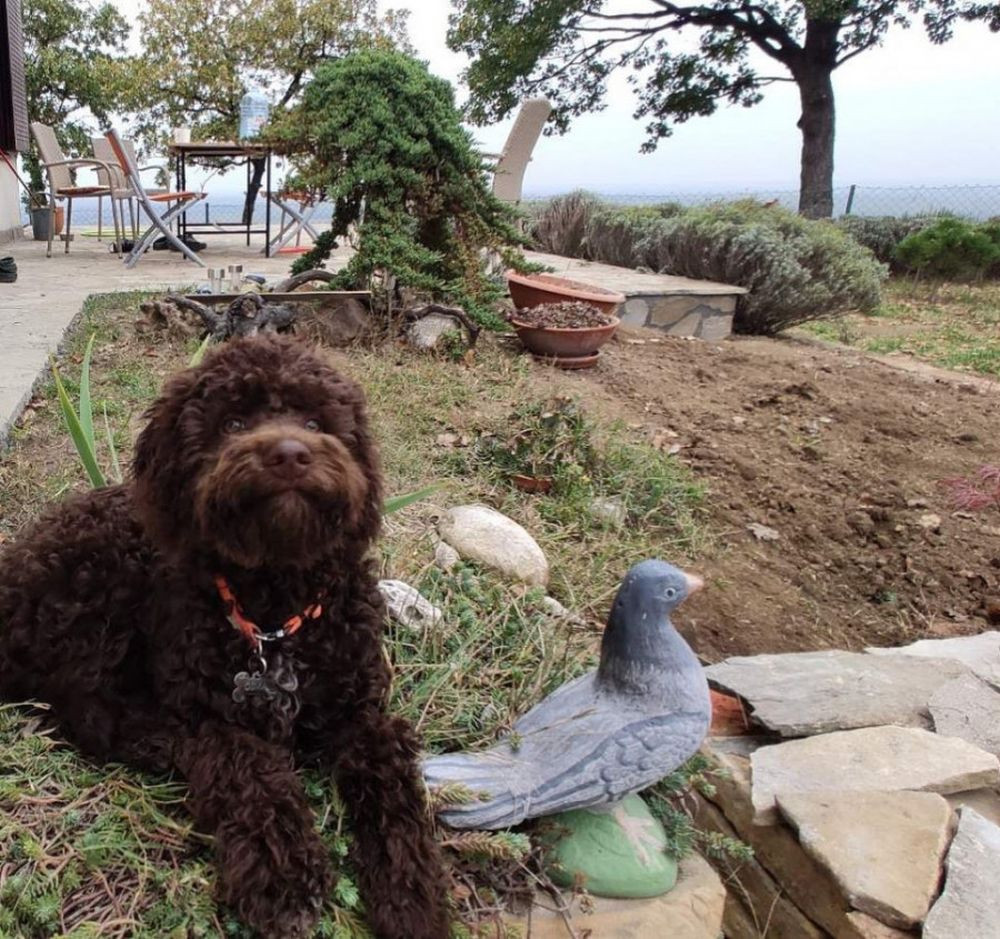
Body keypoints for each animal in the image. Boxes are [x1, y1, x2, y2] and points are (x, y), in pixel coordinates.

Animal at [0, 336, 449, 938]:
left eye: (315, 420)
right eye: (233, 422)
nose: (290, 453)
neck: (275, 612)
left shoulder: (362, 712)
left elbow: (393, 789)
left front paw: (411, 891)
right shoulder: (213, 716)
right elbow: (253, 775)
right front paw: (285, 879)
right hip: (95, 594)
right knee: (84, 708)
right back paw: (159, 741)